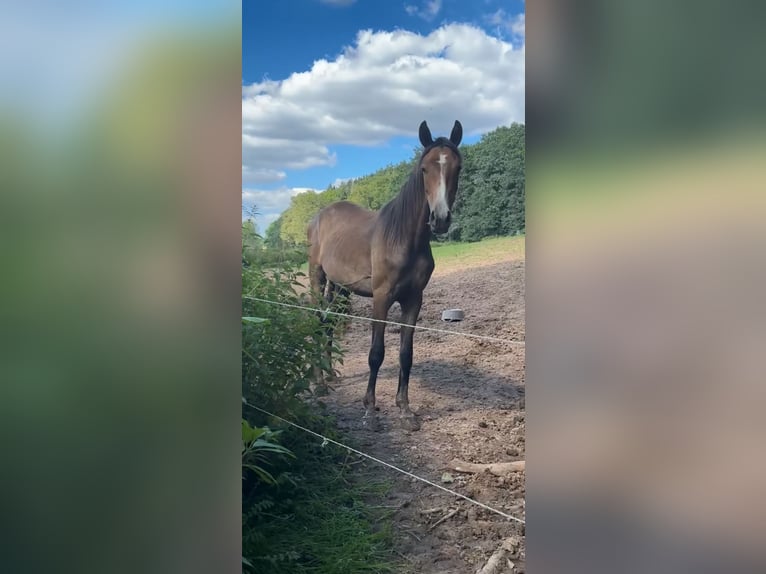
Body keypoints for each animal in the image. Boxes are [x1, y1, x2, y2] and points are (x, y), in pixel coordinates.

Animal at [304, 119, 462, 430]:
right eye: (424, 169)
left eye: (457, 168)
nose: (439, 219)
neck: (403, 239)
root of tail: (319, 216)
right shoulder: (381, 298)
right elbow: (376, 353)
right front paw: (370, 410)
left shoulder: (413, 300)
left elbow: (405, 354)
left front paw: (405, 410)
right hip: (317, 277)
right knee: (317, 321)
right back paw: (319, 384)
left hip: (339, 286)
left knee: (328, 323)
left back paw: (329, 376)